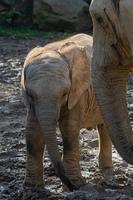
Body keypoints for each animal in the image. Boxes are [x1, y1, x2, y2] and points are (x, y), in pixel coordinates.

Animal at [21, 33, 112, 191]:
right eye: (30, 94)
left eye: (64, 93)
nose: (72, 187)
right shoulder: (32, 105)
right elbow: (33, 132)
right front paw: (32, 188)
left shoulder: (78, 92)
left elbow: (69, 130)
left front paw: (76, 184)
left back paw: (108, 174)